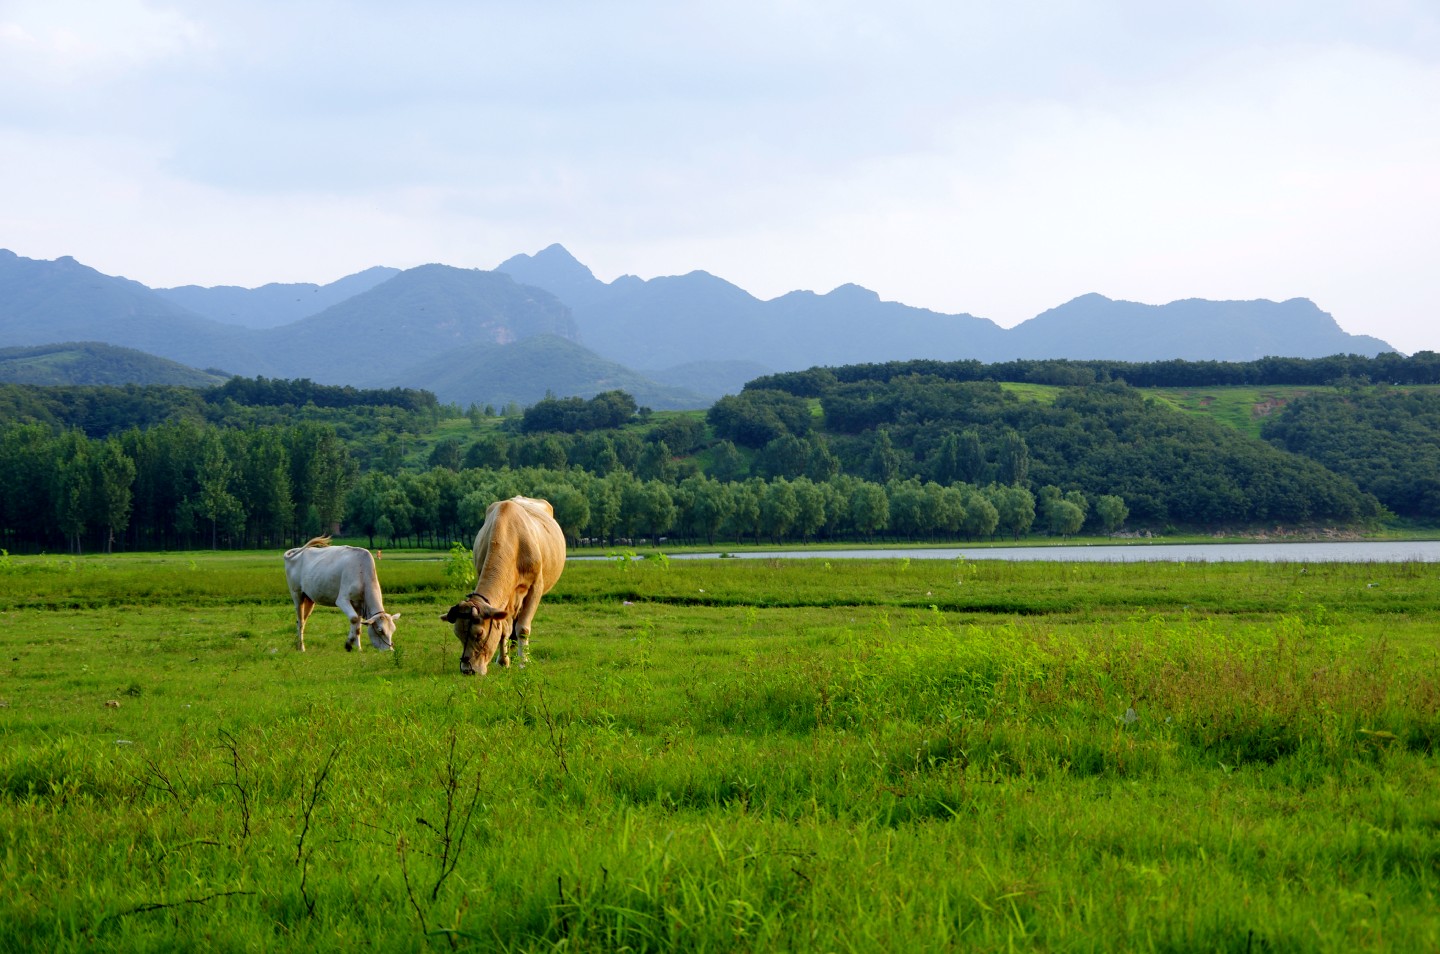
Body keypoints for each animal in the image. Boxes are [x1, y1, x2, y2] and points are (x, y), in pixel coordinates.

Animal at [440, 495, 564, 677]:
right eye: (458, 635)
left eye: (479, 634)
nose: (467, 670)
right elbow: (504, 629)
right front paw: (503, 661)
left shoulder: (536, 587)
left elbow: (522, 628)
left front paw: (523, 662)